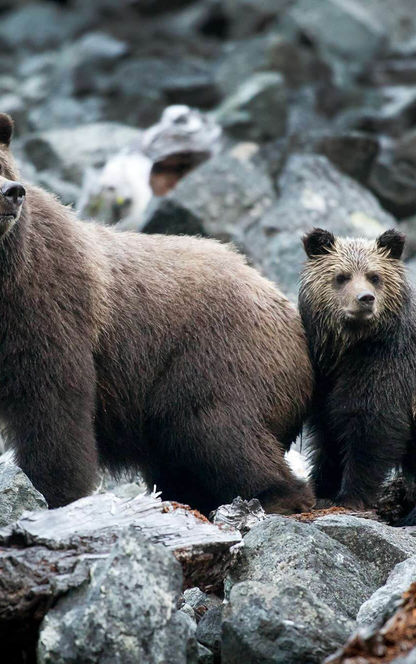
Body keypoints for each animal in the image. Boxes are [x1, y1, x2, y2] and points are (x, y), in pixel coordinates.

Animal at [0, 113, 314, 515]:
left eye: (1, 165)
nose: (12, 192)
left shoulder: (44, 302)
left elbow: (51, 403)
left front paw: (56, 494)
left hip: (219, 357)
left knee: (216, 428)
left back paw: (277, 495)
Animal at [299, 227, 416, 524]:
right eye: (342, 276)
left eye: (375, 276)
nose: (365, 298)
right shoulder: (325, 378)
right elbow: (327, 433)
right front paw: (321, 487)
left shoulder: (387, 366)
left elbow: (372, 427)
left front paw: (352, 496)